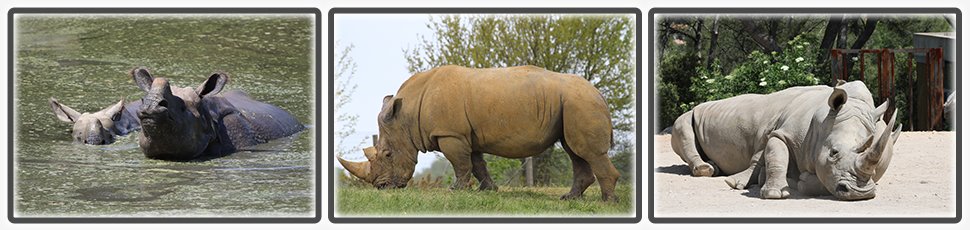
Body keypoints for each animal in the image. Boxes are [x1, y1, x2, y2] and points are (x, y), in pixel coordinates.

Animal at [336, 65, 616, 201]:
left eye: (387, 155)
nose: (382, 188)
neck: (407, 114)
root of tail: (599, 93)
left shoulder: (450, 134)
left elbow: (461, 164)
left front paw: (456, 191)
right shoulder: (465, 135)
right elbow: (477, 163)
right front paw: (489, 190)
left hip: (580, 102)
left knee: (586, 151)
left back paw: (607, 202)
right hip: (573, 103)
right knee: (575, 151)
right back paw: (569, 199)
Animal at [672, 80, 900, 199]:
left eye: (876, 166)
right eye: (833, 153)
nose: (860, 193)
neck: (822, 123)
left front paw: (797, 182)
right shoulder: (783, 133)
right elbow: (776, 154)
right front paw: (773, 193)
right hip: (691, 113)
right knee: (683, 126)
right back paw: (707, 170)